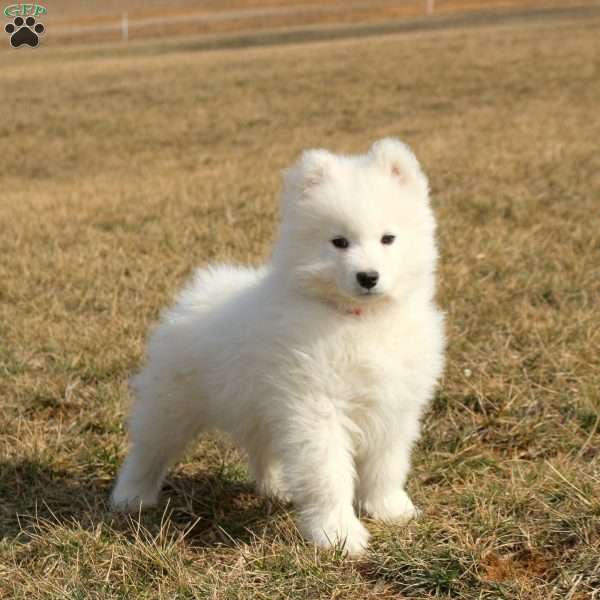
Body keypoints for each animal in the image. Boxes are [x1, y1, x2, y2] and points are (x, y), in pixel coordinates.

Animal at [110, 138, 442, 556]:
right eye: (339, 242)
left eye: (388, 238)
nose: (368, 276)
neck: (359, 320)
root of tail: (202, 288)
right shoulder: (317, 408)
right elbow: (329, 474)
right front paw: (338, 534)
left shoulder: (394, 404)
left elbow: (387, 464)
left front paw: (390, 509)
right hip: (172, 401)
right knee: (149, 448)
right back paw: (131, 496)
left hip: (260, 407)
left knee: (263, 449)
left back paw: (279, 487)